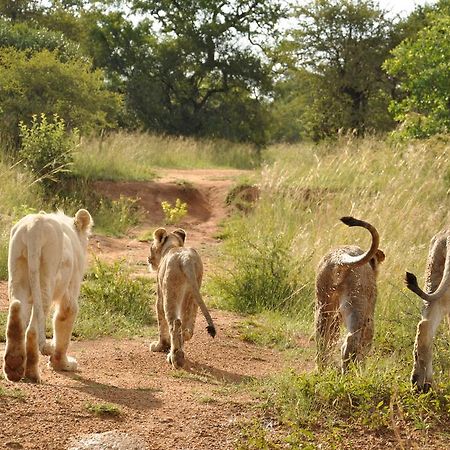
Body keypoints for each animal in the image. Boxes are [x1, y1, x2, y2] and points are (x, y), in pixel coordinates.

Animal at [2, 210, 92, 384]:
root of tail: (34, 227)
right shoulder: (70, 290)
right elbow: (65, 318)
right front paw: (63, 364)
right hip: (47, 273)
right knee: (32, 329)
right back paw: (32, 374)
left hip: (17, 268)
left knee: (17, 308)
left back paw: (14, 367)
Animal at [148, 227, 216, 368]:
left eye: (151, 246)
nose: (148, 259)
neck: (173, 246)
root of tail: (186, 259)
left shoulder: (160, 293)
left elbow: (161, 321)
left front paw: (159, 346)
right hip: (193, 291)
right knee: (186, 326)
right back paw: (179, 348)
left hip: (171, 292)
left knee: (174, 323)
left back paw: (175, 358)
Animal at [314, 216, 384, 370]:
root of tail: (341, 256)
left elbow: (332, 337)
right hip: (357, 304)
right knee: (352, 341)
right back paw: (349, 374)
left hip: (324, 304)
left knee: (322, 335)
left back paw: (322, 368)